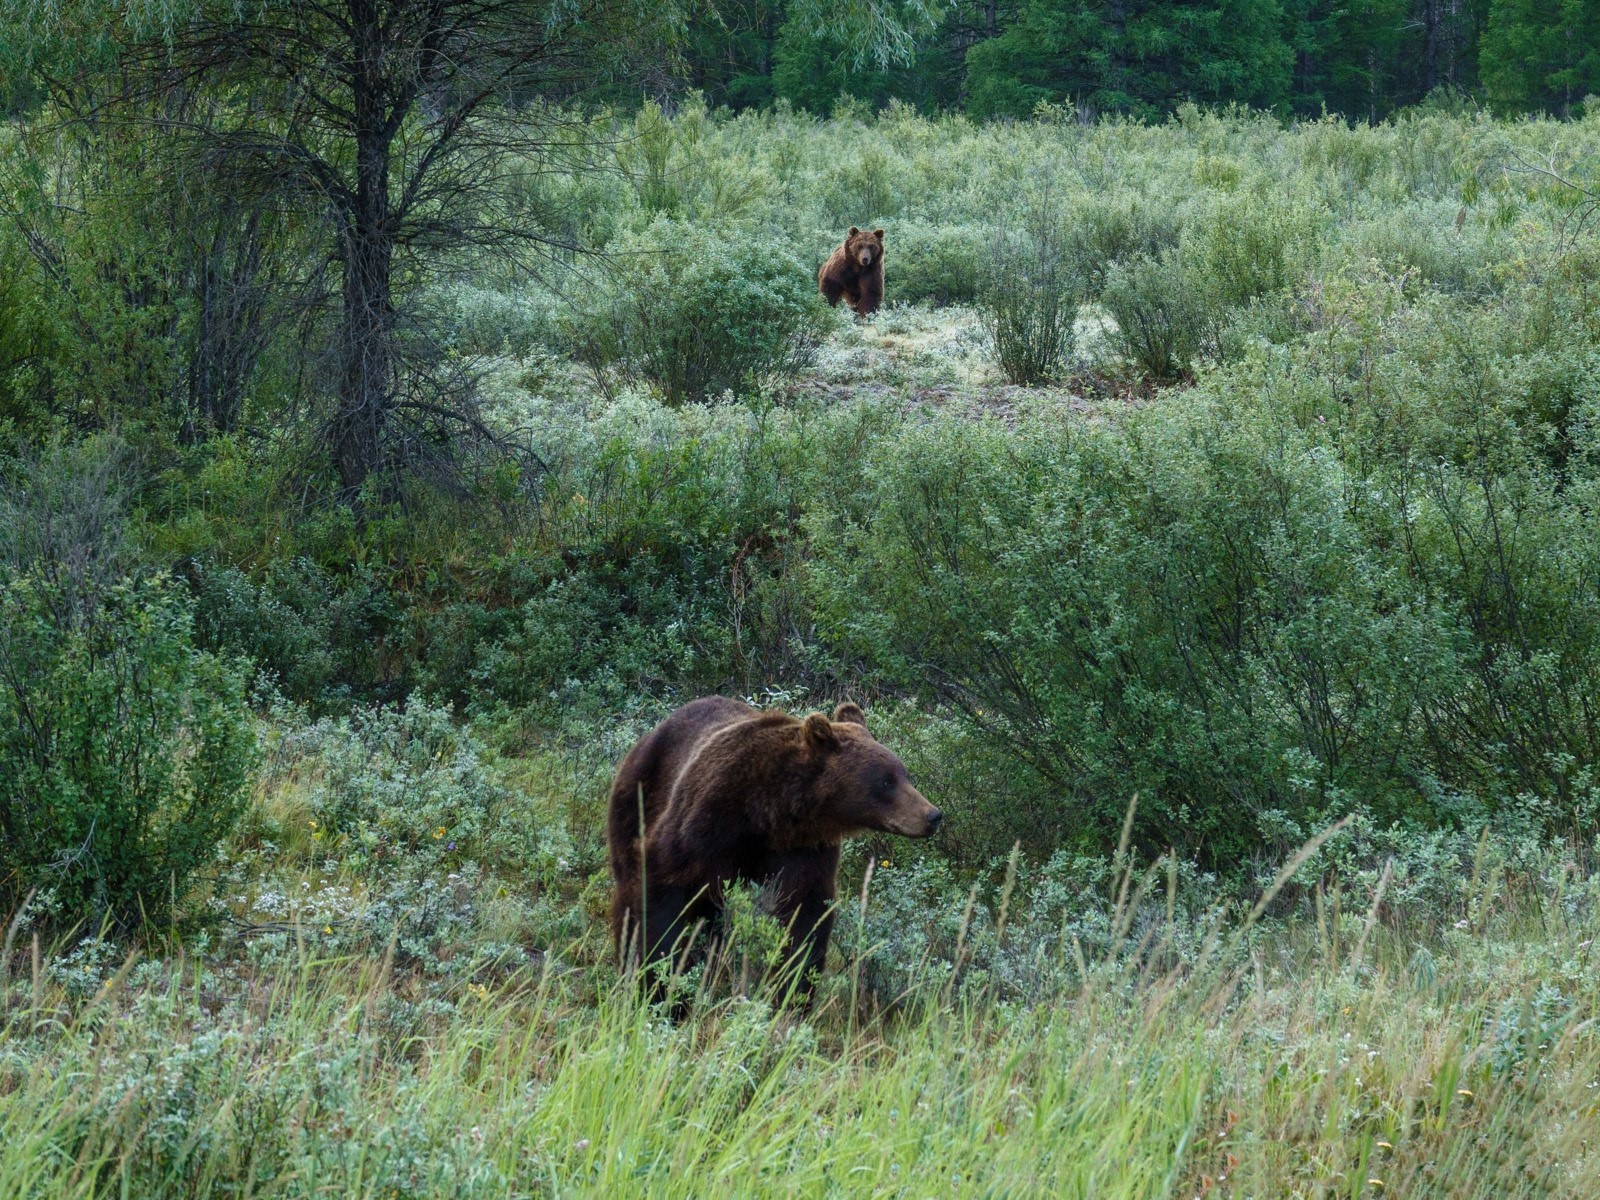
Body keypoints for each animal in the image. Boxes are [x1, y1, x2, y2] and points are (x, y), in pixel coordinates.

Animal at [608, 694, 934, 998]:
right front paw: (658, 981)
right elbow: (663, 891)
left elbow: (804, 914)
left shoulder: (802, 848)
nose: (932, 815)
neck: (765, 814)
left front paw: (794, 988)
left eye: (904, 773)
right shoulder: (704, 826)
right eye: (886, 781)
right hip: (635, 800)